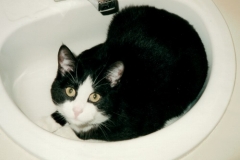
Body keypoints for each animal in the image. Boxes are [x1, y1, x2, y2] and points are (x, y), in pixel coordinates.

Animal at [50, 5, 208, 141]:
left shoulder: (143, 120)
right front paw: (50, 121)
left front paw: (65, 132)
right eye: (70, 91)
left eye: (95, 97)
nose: (77, 110)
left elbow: (94, 132)